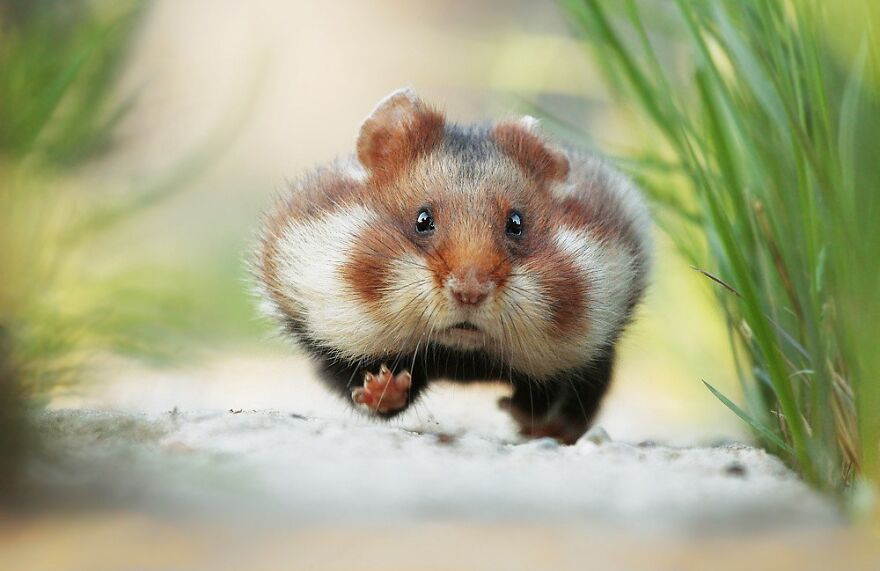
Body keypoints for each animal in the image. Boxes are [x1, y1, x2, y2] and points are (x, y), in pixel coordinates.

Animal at [254, 88, 652, 443]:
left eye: (516, 223)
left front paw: (514, 409)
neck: (461, 354)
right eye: (422, 219)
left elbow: (555, 392)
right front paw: (382, 385)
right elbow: (368, 393)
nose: (470, 291)